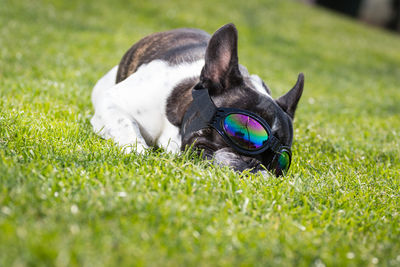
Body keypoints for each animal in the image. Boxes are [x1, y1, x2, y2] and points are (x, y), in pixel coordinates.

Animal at [90, 23, 304, 176]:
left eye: (280, 162)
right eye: (243, 136)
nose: (259, 167)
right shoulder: (112, 101)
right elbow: (126, 125)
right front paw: (139, 151)